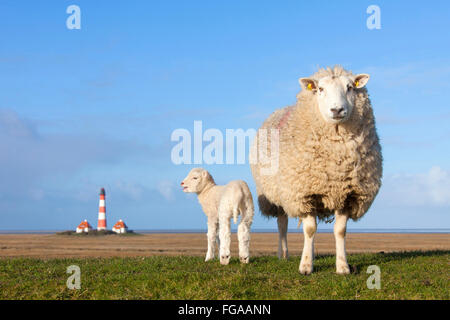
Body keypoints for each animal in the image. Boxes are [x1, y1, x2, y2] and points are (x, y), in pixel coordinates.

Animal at [250, 65, 384, 276]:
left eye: (350, 87)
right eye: (320, 89)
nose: (337, 110)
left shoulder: (346, 194)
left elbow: (340, 231)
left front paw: (342, 266)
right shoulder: (304, 193)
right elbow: (310, 230)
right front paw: (305, 266)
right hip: (279, 195)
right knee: (282, 224)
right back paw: (283, 255)